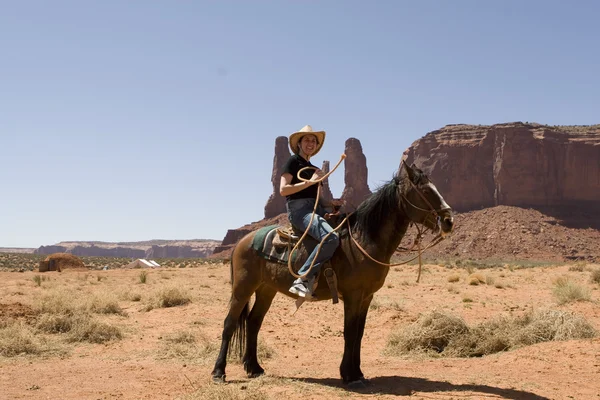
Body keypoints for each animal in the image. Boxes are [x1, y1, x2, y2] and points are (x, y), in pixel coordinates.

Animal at [213, 161, 452, 386]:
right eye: (426, 190)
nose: (449, 221)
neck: (364, 240)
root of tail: (241, 242)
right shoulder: (353, 295)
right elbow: (350, 332)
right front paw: (349, 375)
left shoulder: (367, 297)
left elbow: (359, 333)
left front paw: (358, 373)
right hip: (243, 287)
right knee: (229, 324)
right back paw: (219, 372)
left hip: (266, 289)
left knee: (253, 322)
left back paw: (254, 368)